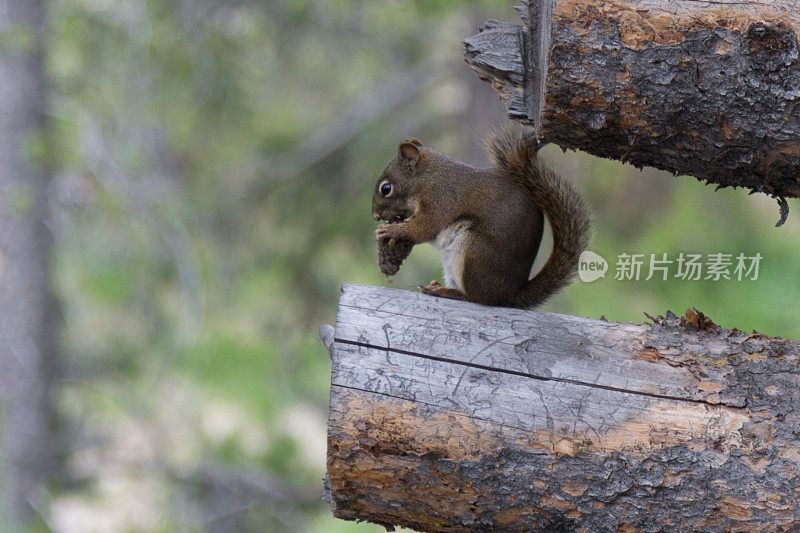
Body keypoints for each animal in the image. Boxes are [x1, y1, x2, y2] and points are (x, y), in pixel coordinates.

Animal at [372, 128, 592, 308]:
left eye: (386, 188)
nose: (375, 216)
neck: (429, 177)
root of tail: (508, 296)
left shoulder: (441, 198)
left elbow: (426, 227)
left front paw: (392, 230)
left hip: (473, 249)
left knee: (476, 297)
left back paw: (445, 291)